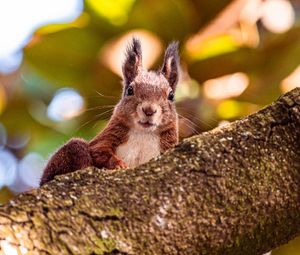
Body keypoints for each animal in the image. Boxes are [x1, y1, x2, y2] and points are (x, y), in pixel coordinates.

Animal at [40, 37, 180, 185]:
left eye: (171, 95)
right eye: (130, 90)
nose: (149, 110)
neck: (144, 134)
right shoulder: (106, 138)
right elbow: (100, 152)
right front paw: (119, 165)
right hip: (71, 151)